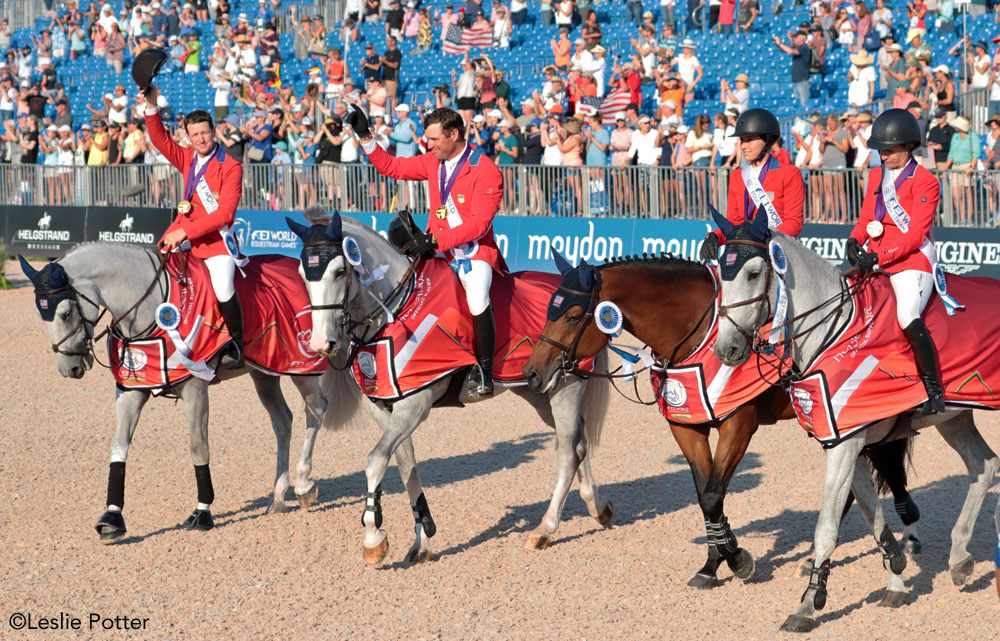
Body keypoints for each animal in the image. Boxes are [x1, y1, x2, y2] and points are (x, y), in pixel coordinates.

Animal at [290, 212, 612, 564]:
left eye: (338, 271)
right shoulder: (386, 407)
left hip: (566, 387)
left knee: (568, 452)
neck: (397, 309)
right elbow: (407, 466)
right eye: (303, 275)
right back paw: (597, 507)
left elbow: (375, 460)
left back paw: (545, 529)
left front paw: (373, 536)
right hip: (538, 391)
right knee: (579, 444)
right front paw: (422, 539)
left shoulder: (414, 405)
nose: (322, 344)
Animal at [524, 248, 920, 588]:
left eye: (573, 316)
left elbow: (715, 495)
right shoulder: (686, 427)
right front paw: (713, 564)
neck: (699, 334)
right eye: (549, 310)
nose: (531, 373)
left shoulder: (738, 424)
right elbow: (705, 496)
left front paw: (736, 559)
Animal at [712, 214, 1000, 632]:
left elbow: (827, 528)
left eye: (753, 273)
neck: (834, 333)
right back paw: (960, 558)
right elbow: (873, 516)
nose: (727, 349)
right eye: (720, 273)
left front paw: (807, 604)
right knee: (984, 465)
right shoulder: (846, 441)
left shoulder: (846, 446)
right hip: (955, 418)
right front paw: (896, 578)